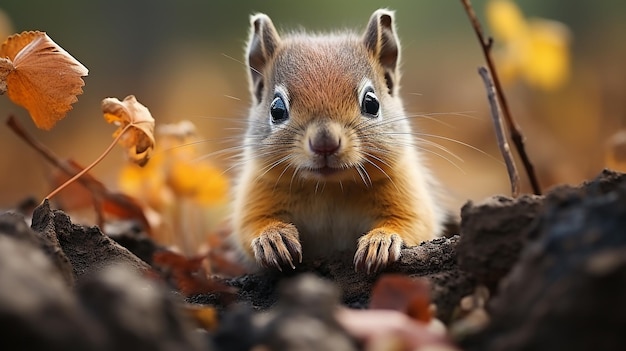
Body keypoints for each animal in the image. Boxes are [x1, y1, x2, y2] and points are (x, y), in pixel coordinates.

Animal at [232, 7, 446, 272]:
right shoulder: (257, 192)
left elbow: (412, 223)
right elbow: (251, 225)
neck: (328, 187)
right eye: (276, 109)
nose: (325, 144)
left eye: (371, 103)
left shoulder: (406, 193)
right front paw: (272, 238)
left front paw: (380, 242)